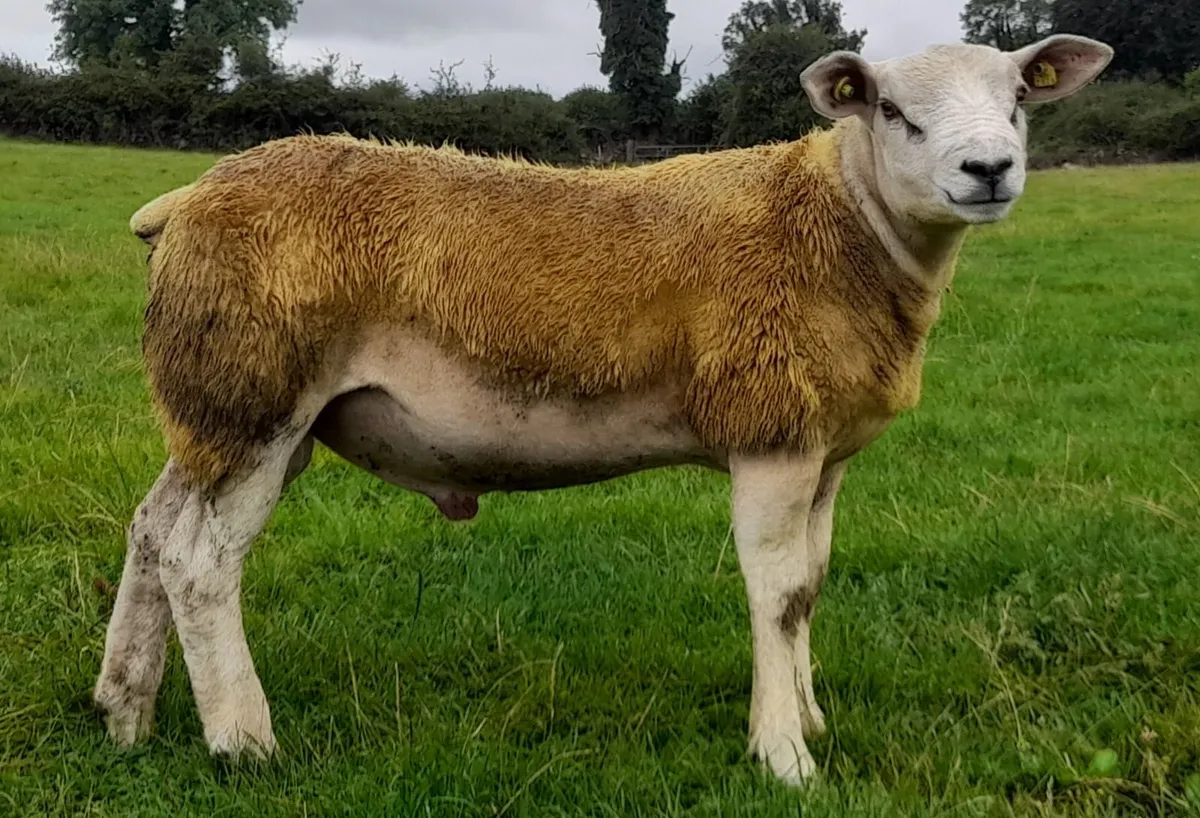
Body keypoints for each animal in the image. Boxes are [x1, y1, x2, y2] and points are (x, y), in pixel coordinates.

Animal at [93, 34, 1113, 785]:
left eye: (1018, 100)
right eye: (895, 113)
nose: (989, 169)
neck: (845, 225)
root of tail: (184, 200)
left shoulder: (826, 453)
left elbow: (811, 588)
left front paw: (812, 716)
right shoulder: (770, 431)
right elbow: (777, 593)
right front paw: (783, 754)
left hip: (223, 404)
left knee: (150, 530)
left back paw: (124, 711)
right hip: (255, 395)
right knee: (198, 563)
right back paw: (243, 740)